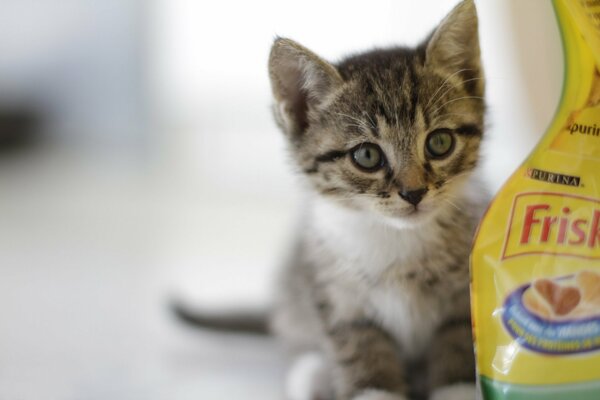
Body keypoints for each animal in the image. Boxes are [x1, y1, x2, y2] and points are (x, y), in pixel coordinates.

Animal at [268, 0, 488, 400]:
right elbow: (360, 346)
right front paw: (374, 389)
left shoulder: (463, 295)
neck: (399, 239)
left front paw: (457, 388)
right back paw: (312, 374)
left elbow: (458, 338)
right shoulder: (338, 295)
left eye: (440, 142)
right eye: (367, 156)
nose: (414, 192)